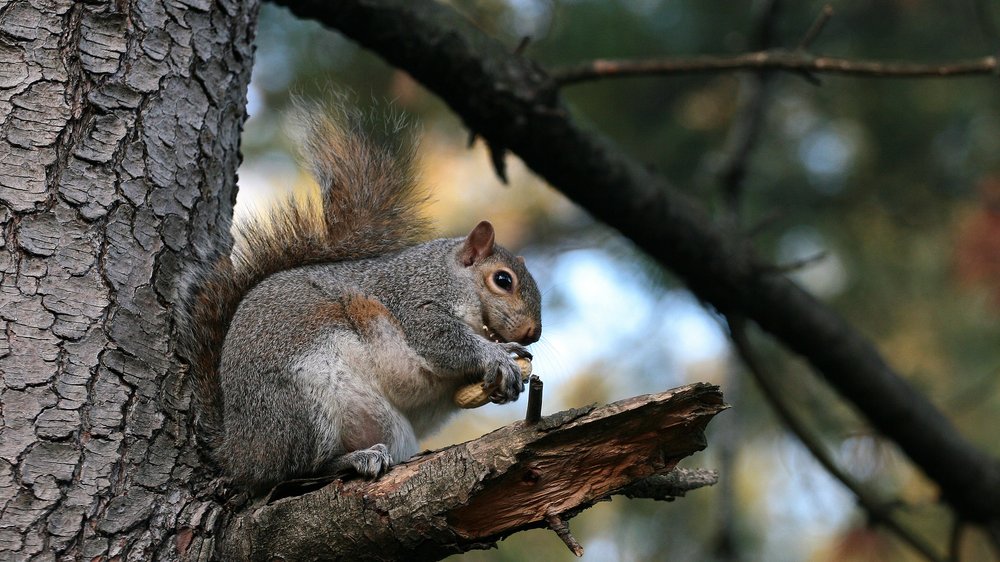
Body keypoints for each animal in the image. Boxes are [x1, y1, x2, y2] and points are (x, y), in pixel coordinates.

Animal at [176, 105, 544, 490]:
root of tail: (238, 450)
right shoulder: (416, 300)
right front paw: (498, 355)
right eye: (502, 280)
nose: (532, 333)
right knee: (295, 470)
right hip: (303, 405)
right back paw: (353, 459)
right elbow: (442, 340)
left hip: (384, 425)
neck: (451, 274)